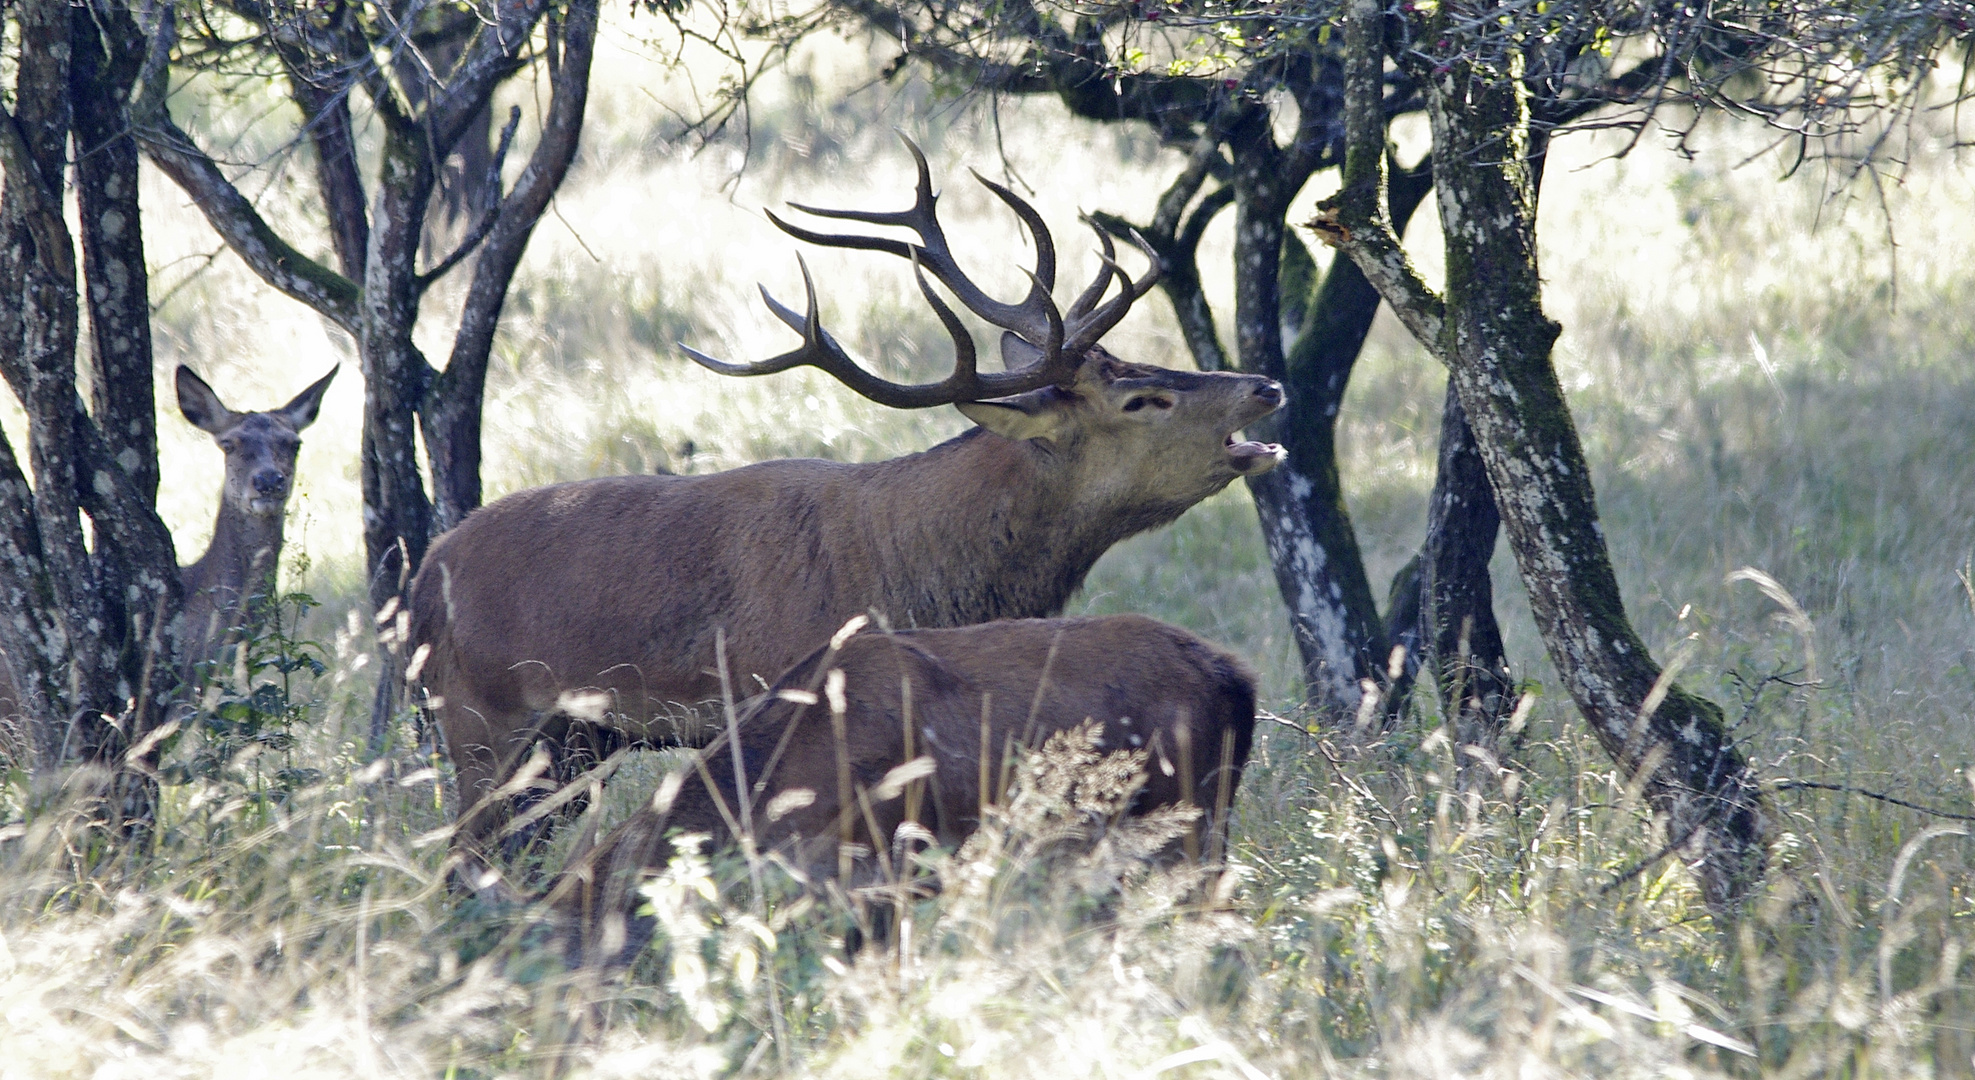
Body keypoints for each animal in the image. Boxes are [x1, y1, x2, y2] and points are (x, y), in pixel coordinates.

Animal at [408, 139, 1287, 856]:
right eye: (1140, 400)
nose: (1265, 385)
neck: (918, 573)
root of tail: (418, 586)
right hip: (483, 720)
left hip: (572, 746)